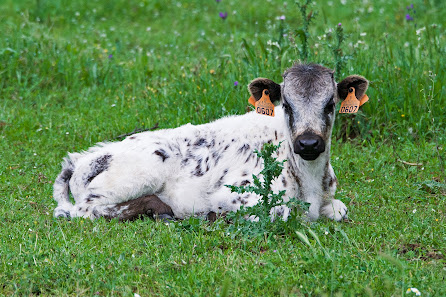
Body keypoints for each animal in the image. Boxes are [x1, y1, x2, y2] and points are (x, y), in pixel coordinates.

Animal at [53, 63, 370, 220]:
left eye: (330, 104)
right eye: (288, 106)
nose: (308, 144)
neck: (310, 183)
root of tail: (79, 161)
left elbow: (339, 209)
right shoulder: (235, 195)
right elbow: (281, 213)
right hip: (140, 172)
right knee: (81, 210)